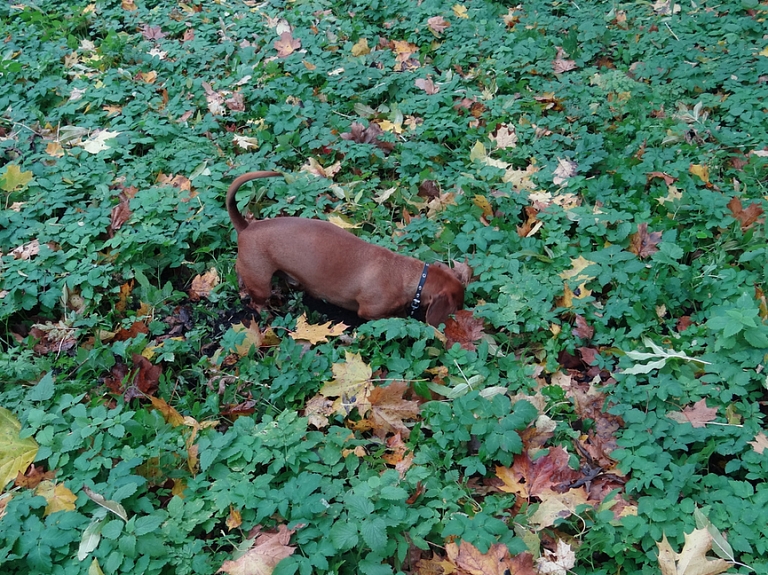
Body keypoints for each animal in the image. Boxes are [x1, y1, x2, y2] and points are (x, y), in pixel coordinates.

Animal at [226, 171, 468, 326]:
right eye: (456, 306)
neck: (408, 275)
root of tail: (247, 227)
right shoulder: (370, 312)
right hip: (260, 283)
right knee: (257, 302)